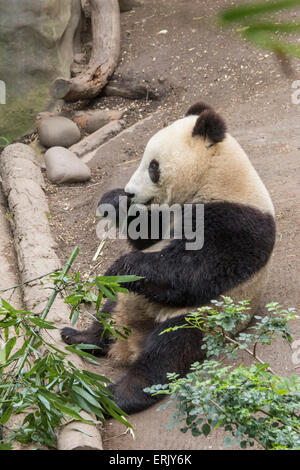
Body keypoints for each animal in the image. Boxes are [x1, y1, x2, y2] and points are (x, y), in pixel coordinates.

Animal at [61, 103, 276, 414]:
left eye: (153, 166)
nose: (130, 192)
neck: (216, 177)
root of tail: (131, 339)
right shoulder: (167, 216)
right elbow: (145, 237)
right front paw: (114, 201)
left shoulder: (238, 220)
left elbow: (197, 271)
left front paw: (121, 265)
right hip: (126, 302)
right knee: (108, 311)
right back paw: (81, 337)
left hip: (198, 319)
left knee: (166, 353)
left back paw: (117, 396)